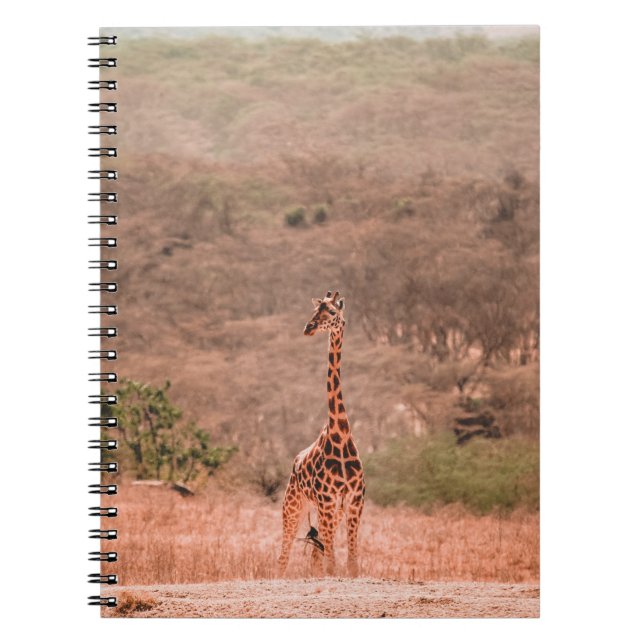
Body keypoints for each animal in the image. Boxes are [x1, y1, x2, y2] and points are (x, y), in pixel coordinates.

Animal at [278, 291, 365, 577]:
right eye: (316, 310)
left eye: (332, 313)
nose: (309, 327)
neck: (341, 435)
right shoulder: (327, 500)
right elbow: (333, 564)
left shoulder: (353, 500)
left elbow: (351, 563)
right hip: (293, 506)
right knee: (283, 556)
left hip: (328, 511)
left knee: (317, 554)